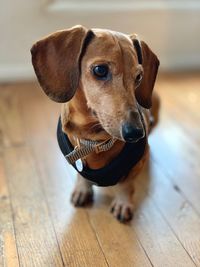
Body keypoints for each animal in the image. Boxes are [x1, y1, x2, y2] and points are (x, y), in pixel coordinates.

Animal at [30, 25, 159, 223]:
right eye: (100, 70)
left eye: (139, 76)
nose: (136, 133)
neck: (92, 141)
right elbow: (81, 174)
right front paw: (82, 189)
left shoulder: (139, 161)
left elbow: (126, 185)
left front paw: (123, 203)